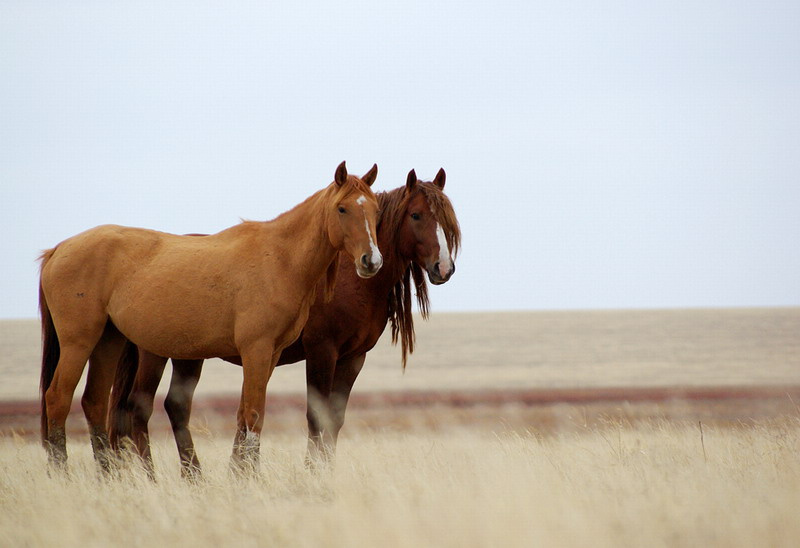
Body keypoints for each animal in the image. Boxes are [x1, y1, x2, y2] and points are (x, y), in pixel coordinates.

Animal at [39, 162, 382, 472]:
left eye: (376, 211)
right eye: (342, 209)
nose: (371, 261)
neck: (280, 258)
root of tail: (57, 250)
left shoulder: (270, 354)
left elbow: (245, 415)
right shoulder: (257, 350)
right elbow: (254, 414)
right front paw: (251, 478)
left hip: (108, 341)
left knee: (94, 402)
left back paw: (108, 478)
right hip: (80, 342)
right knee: (58, 397)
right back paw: (63, 475)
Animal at [107, 168, 460, 477]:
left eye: (447, 220)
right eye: (416, 215)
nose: (444, 268)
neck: (347, 281)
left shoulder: (353, 358)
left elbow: (334, 419)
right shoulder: (322, 351)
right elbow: (316, 417)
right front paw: (311, 475)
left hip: (188, 355)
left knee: (175, 407)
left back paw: (193, 477)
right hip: (155, 353)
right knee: (139, 409)